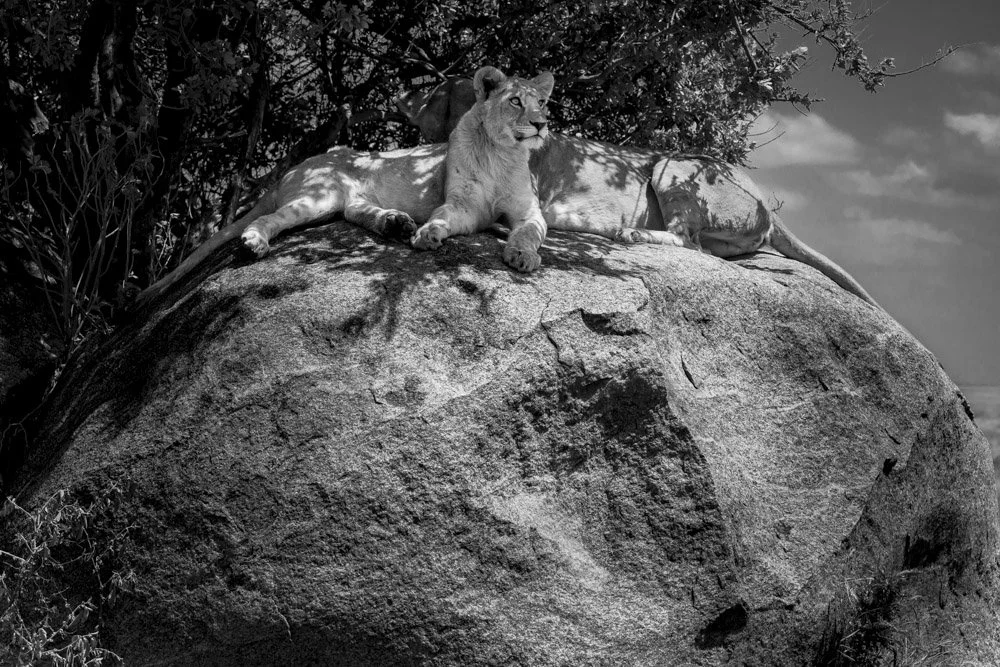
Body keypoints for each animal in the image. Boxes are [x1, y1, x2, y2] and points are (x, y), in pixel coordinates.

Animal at [410, 66, 554, 273]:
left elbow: (528, 232)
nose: (541, 124)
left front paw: (523, 254)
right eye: (515, 101)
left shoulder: (527, 208)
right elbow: (442, 214)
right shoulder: (466, 205)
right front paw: (428, 232)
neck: (500, 153)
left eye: (541, 103)